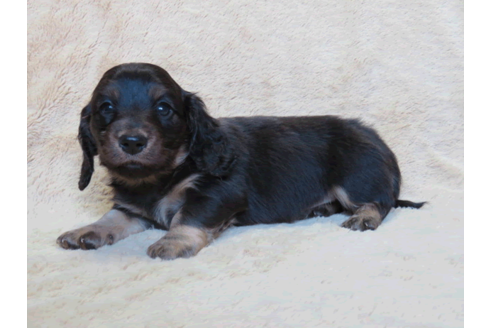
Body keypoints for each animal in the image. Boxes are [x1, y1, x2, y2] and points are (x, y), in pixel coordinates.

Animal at [56, 62, 426, 260]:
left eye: (164, 108)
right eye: (105, 107)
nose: (132, 141)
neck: (159, 177)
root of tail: (378, 140)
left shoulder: (217, 193)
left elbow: (188, 217)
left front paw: (173, 242)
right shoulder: (131, 207)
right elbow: (112, 218)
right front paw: (85, 231)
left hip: (357, 175)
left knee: (379, 202)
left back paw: (363, 217)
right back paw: (320, 208)